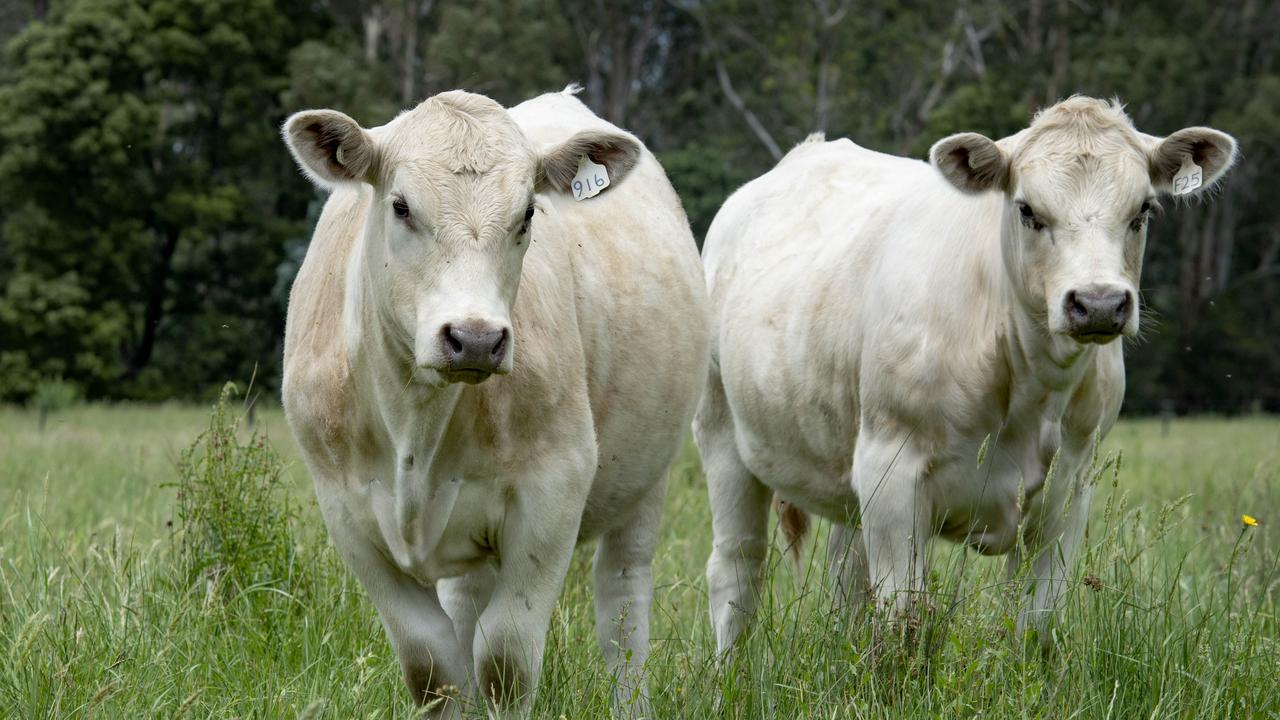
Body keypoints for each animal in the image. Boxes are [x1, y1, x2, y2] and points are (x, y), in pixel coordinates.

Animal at [276, 87, 711, 712]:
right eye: (400, 206)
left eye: (527, 213)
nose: (476, 337)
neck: (417, 423)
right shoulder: (346, 510)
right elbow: (432, 666)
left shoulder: (553, 492)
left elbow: (505, 660)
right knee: (465, 607)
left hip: (646, 480)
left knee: (623, 613)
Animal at [701, 92, 1239, 648]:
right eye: (1027, 209)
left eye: (1143, 210)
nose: (1098, 303)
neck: (1029, 389)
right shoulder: (891, 474)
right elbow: (903, 621)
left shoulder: (1070, 488)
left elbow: (1034, 626)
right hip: (722, 433)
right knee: (737, 567)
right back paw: (731, 670)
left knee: (845, 574)